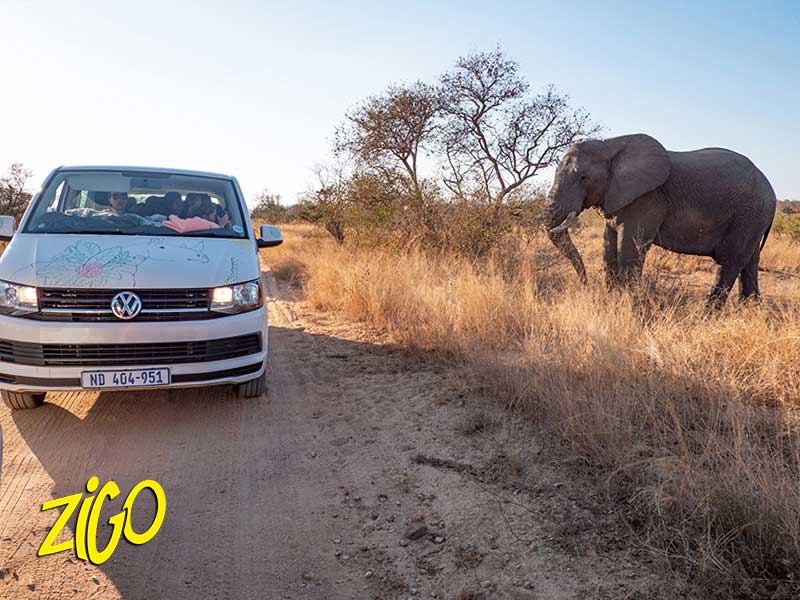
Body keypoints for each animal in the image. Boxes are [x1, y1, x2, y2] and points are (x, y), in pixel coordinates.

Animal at [545, 133, 777, 307]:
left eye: (584, 178)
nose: (584, 284)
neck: (610, 145)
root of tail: (771, 191)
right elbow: (608, 248)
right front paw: (611, 302)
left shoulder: (647, 199)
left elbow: (629, 250)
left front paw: (627, 305)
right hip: (753, 218)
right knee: (749, 263)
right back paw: (748, 311)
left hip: (749, 215)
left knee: (730, 261)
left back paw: (707, 316)